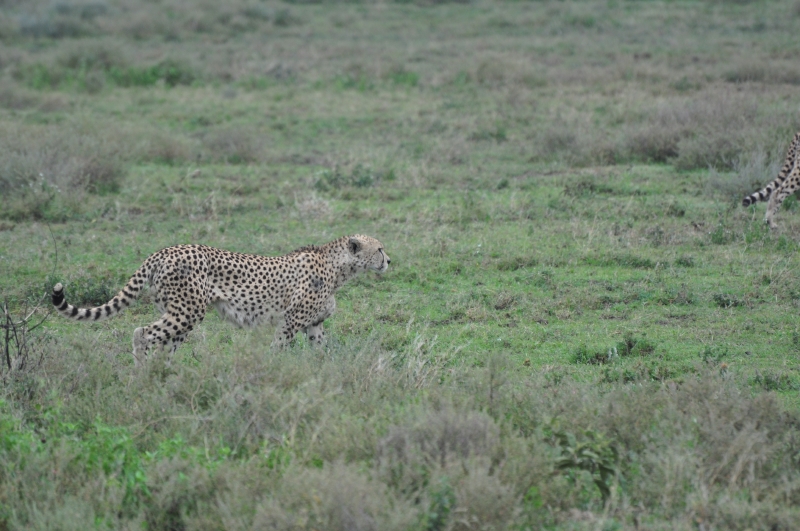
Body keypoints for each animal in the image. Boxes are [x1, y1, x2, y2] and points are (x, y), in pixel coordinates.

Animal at [51, 234, 390, 365]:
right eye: (380, 249)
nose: (389, 261)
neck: (338, 268)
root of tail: (164, 250)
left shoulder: (313, 324)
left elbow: (321, 351)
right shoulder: (291, 321)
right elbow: (278, 347)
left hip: (178, 313)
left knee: (164, 346)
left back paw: (165, 377)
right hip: (187, 311)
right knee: (142, 333)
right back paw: (141, 374)